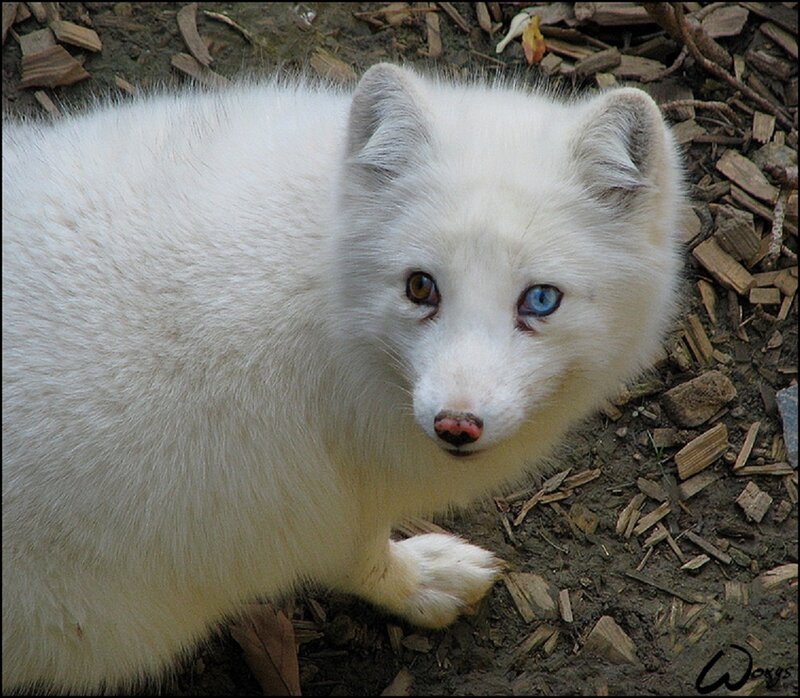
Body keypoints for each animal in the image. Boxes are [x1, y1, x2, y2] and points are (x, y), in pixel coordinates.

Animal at [2, 62, 685, 694]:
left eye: (541, 300)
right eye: (420, 287)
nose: (456, 424)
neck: (325, 295)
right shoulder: (300, 508)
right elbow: (361, 561)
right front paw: (419, 585)